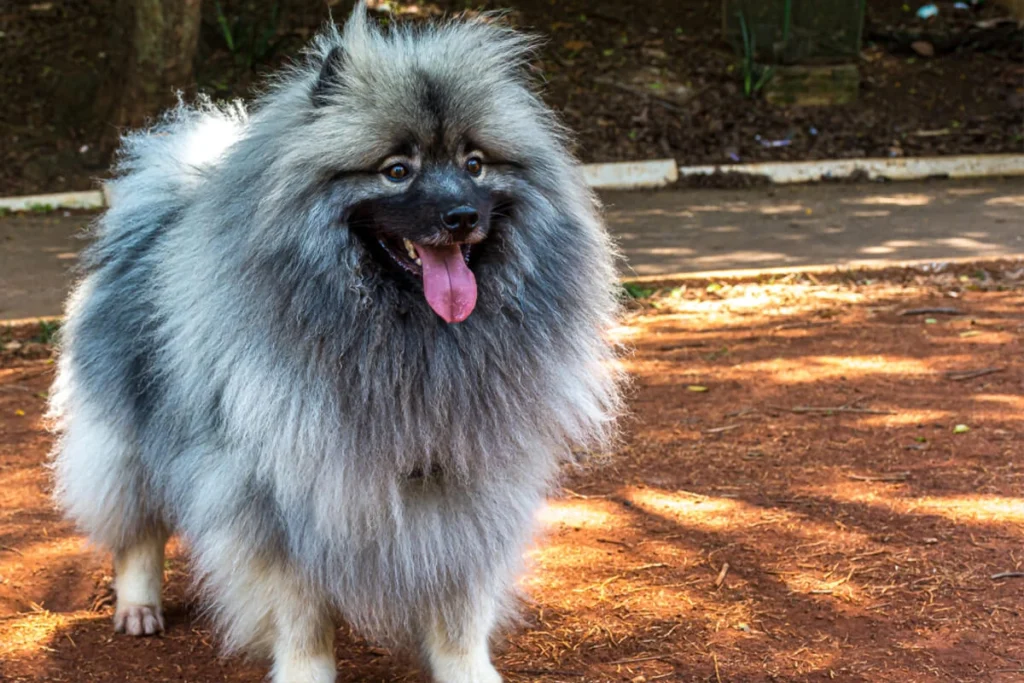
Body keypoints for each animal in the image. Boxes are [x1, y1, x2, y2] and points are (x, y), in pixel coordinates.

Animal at [49, 2, 614, 679]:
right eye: (397, 171)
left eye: (474, 164)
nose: (461, 217)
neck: (407, 340)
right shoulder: (274, 499)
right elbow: (300, 613)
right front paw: (305, 670)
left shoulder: (468, 484)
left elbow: (460, 605)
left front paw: (467, 668)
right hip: (125, 440)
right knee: (136, 531)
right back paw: (138, 607)